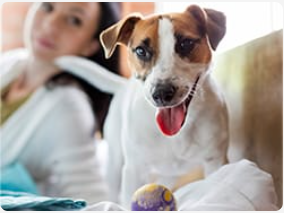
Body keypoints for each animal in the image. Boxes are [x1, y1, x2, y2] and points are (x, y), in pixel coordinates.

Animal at [55, 4, 229, 208]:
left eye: (186, 43)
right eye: (140, 51)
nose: (161, 93)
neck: (177, 134)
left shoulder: (215, 162)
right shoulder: (134, 170)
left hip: (169, 173)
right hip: (115, 162)